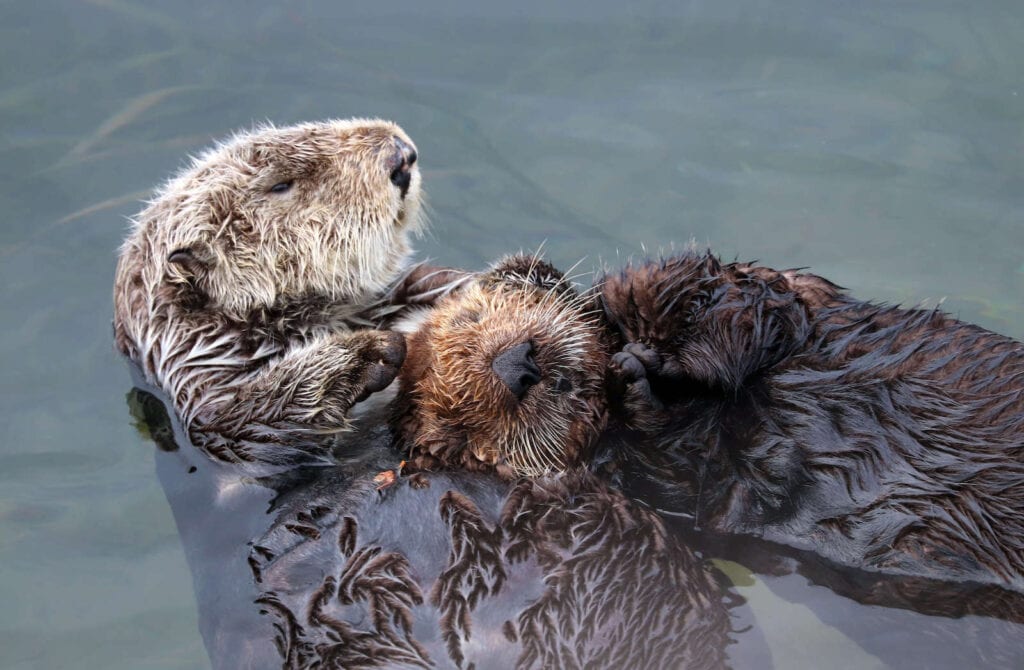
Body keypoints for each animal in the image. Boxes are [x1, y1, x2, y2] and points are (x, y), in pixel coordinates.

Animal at [395, 252, 1024, 591]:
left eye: (473, 320)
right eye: (460, 424)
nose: (516, 366)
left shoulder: (783, 296)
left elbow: (728, 291)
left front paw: (634, 346)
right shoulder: (679, 489)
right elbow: (694, 475)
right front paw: (632, 382)